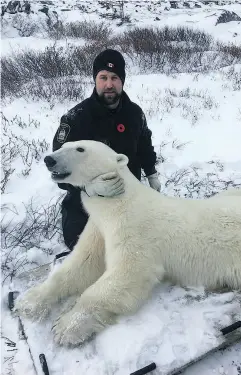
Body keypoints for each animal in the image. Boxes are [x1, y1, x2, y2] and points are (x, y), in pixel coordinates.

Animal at [15, 140, 241, 346]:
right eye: (63, 145)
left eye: (80, 149)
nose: (49, 159)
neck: (117, 205)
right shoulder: (99, 228)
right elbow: (82, 264)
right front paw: (28, 302)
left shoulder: (133, 229)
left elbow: (128, 273)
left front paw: (65, 326)